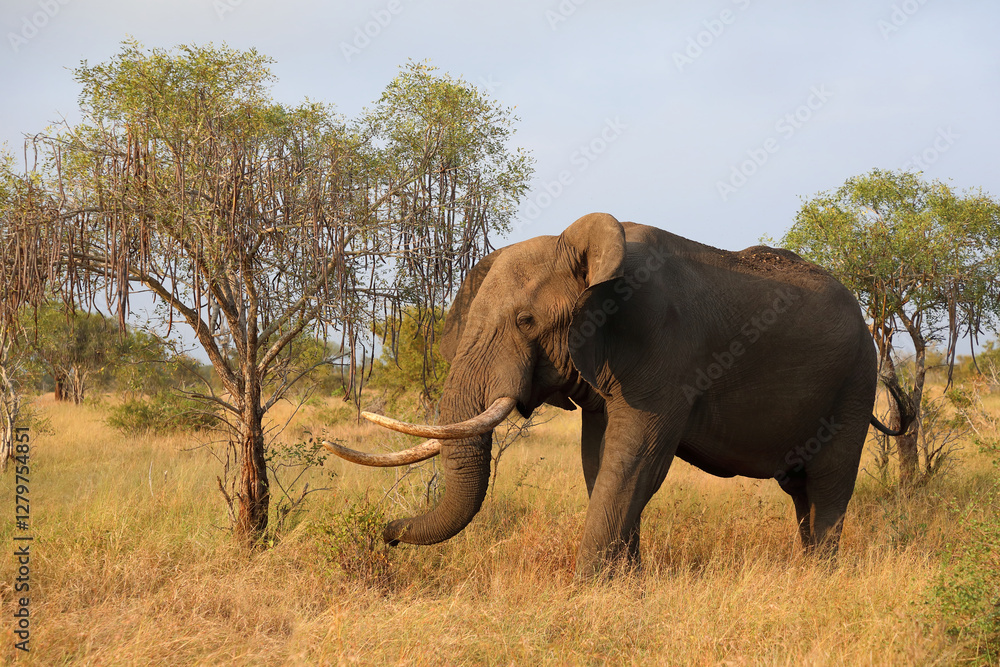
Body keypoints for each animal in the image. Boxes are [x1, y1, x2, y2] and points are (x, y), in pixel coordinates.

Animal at [326, 212, 910, 578]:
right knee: (801, 490)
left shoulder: (666, 350)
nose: (386, 535)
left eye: (525, 321)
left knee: (830, 483)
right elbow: (600, 458)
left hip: (855, 381)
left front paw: (590, 588)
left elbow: (634, 459)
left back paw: (820, 577)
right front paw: (626, 582)